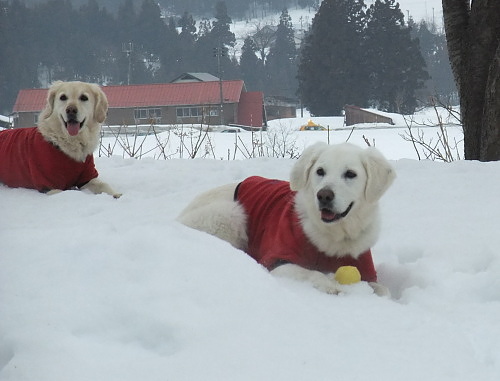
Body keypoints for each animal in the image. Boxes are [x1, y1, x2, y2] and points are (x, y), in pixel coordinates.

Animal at [179, 142, 394, 294]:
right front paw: (330, 285)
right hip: (230, 212)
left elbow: (384, 289)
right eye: (320, 171)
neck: (335, 235)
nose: (324, 196)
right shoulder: (278, 260)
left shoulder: (365, 266)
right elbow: (311, 272)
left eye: (350, 174)